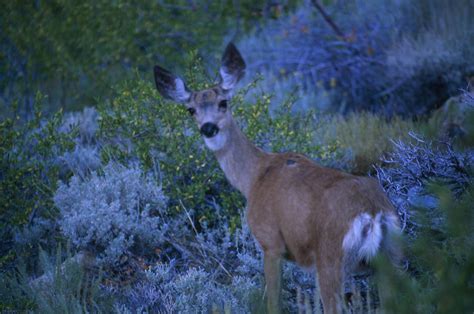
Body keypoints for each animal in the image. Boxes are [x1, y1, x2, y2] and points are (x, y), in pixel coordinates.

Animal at [154, 43, 402, 312]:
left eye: (223, 102)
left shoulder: (270, 241)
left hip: (331, 257)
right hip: (391, 256)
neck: (254, 177)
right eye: (191, 110)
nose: (208, 128)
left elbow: (273, 301)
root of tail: (374, 214)